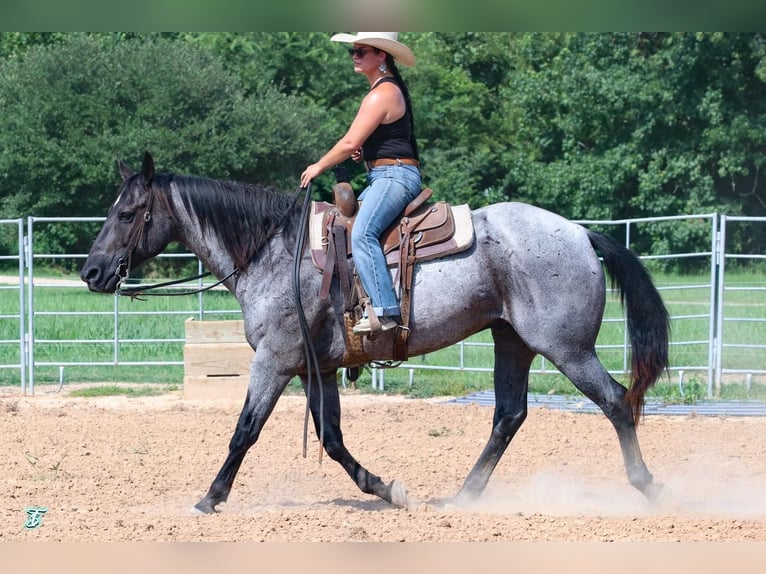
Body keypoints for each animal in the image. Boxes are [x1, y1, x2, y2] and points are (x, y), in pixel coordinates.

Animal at [81, 152, 672, 512]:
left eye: (128, 213)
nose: (92, 272)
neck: (274, 250)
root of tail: (579, 233)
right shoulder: (314, 369)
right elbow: (331, 438)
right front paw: (387, 489)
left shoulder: (274, 360)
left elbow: (245, 429)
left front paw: (211, 497)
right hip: (514, 342)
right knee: (509, 415)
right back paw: (464, 497)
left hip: (567, 348)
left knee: (616, 402)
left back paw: (649, 487)